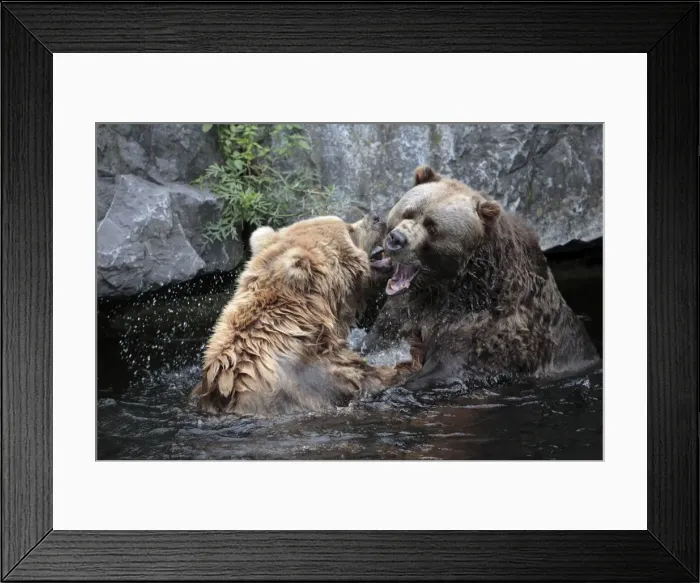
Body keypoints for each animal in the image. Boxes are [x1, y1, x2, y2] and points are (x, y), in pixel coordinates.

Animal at [363, 165, 601, 390]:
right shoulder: (404, 312)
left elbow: (447, 367)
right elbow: (380, 340)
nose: (396, 239)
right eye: (408, 212)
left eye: (433, 227)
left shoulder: (486, 331)